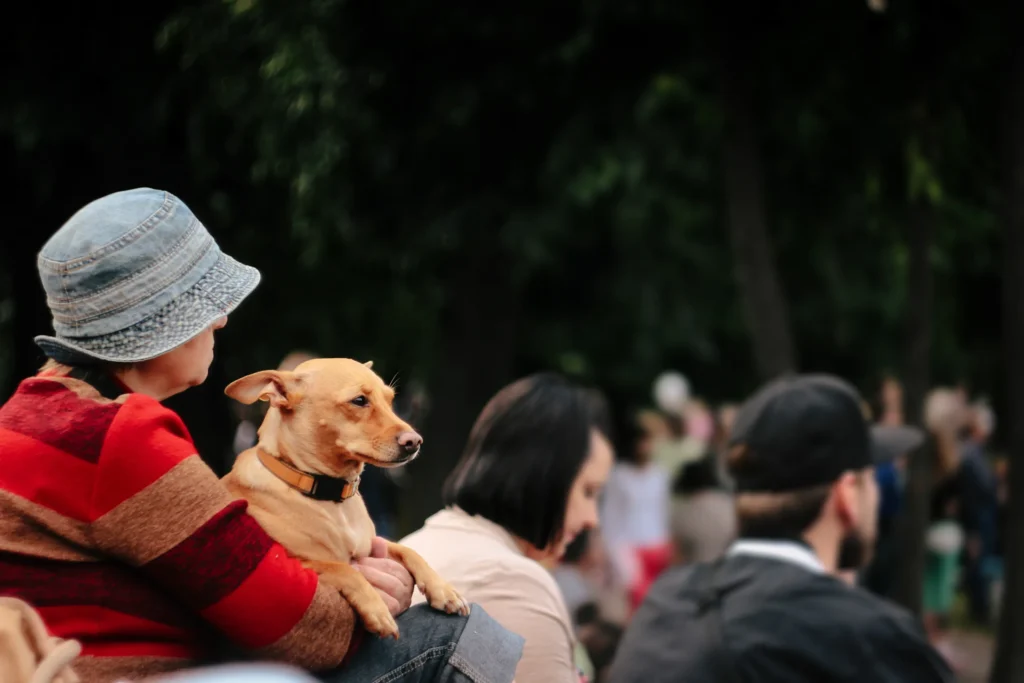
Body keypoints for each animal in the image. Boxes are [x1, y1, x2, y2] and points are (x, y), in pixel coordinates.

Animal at [222, 358, 468, 643]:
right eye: (359, 400)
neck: (333, 499)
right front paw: (378, 610)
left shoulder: (373, 546)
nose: (415, 441)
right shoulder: (300, 565)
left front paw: (443, 590)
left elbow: (408, 550)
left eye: (390, 399)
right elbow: (344, 569)